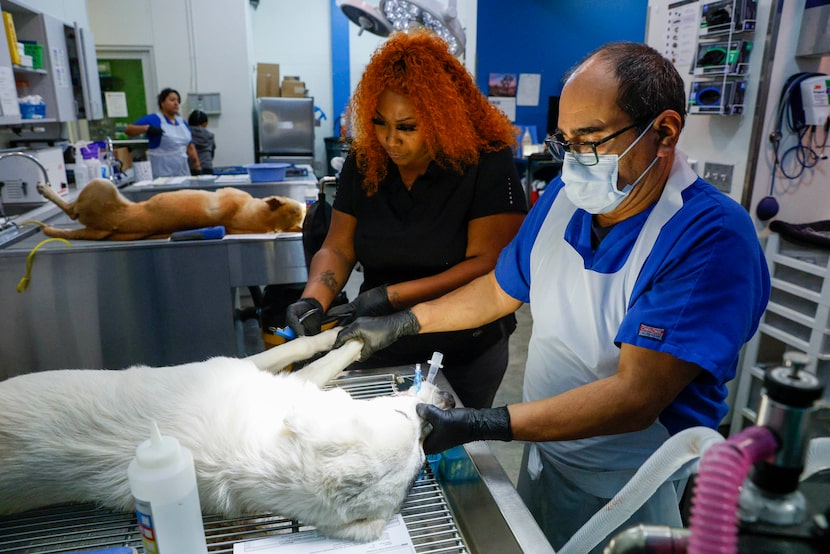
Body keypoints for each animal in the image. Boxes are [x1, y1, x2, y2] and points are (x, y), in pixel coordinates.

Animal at [0, 328, 456, 540]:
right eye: (401, 414)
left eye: (421, 457)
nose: (448, 403)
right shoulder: (251, 369)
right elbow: (311, 348)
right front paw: (351, 330)